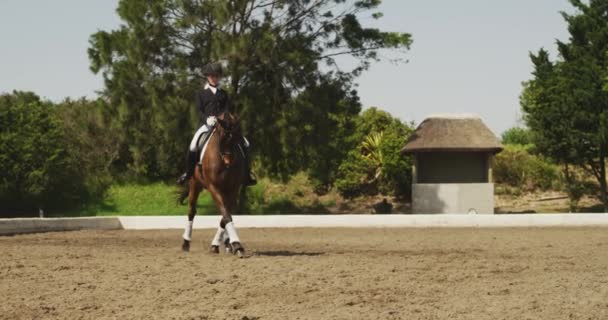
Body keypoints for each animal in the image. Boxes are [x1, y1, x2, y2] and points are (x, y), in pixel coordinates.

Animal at [178, 112, 247, 258]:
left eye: (237, 138)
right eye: (221, 138)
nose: (228, 162)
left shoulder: (233, 189)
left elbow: (225, 216)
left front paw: (224, 244)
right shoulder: (213, 187)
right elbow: (226, 215)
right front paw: (237, 245)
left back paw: (227, 244)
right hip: (195, 184)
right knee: (191, 211)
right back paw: (186, 243)